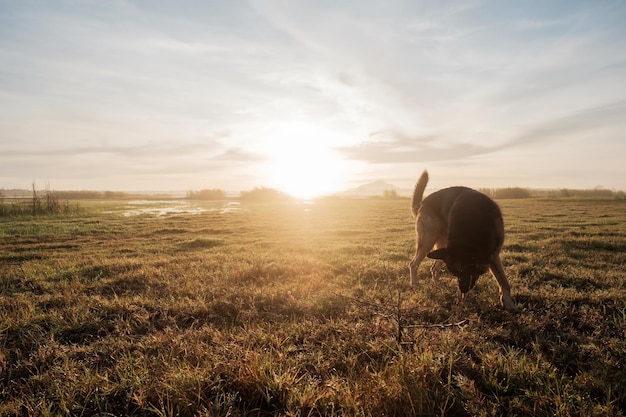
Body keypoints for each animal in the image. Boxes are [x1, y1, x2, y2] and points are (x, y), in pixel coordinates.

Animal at [408, 168, 516, 308]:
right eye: (455, 274)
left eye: (463, 271)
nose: (463, 290)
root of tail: (422, 203)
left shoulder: (493, 256)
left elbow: (503, 282)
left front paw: (508, 304)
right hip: (427, 241)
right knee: (413, 264)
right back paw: (414, 284)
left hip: (440, 247)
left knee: (433, 267)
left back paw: (438, 285)